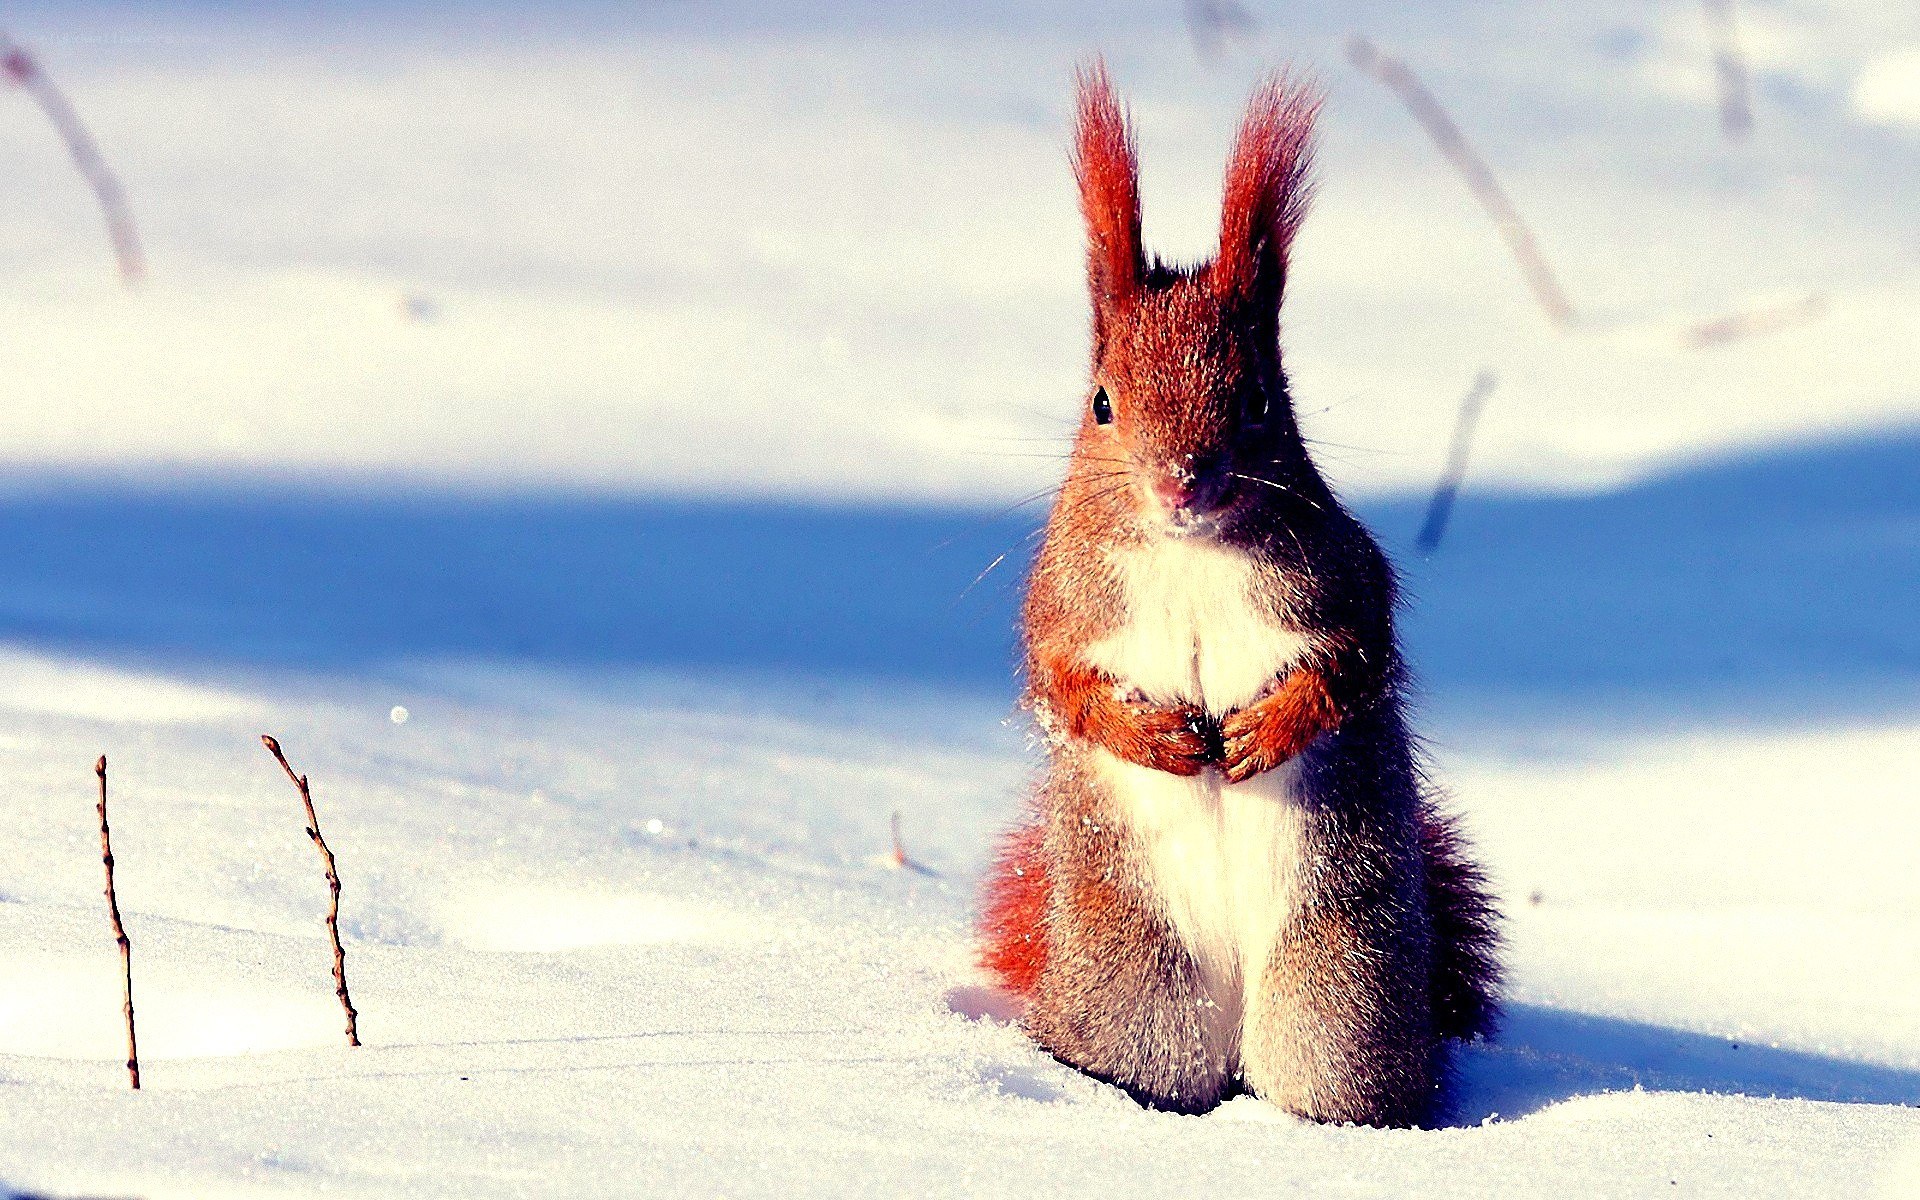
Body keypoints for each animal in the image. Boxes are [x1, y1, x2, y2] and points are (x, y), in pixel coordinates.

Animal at [978, 63, 1501, 1127]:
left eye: (1260, 399)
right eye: (1101, 402)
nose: (1181, 481)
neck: (1189, 554)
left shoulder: (1344, 584)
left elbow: (1353, 665)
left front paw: (1265, 731)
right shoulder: (1062, 605)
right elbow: (1062, 685)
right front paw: (1160, 739)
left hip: (1339, 988)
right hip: (1136, 986)